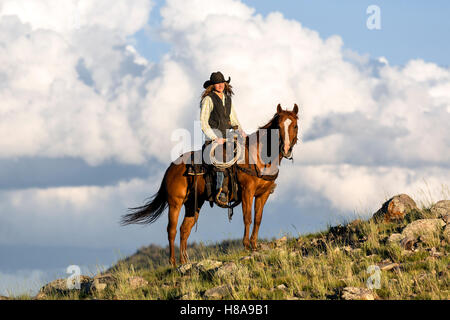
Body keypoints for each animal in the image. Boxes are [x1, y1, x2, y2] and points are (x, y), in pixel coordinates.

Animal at [121, 104, 300, 266]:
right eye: (278, 126)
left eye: (295, 125)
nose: (286, 149)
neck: (259, 157)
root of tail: (171, 167)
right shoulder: (247, 192)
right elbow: (248, 218)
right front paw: (247, 246)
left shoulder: (263, 194)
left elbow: (258, 219)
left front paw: (254, 246)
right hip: (175, 203)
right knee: (171, 230)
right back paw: (173, 263)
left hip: (193, 204)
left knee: (184, 229)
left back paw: (184, 261)